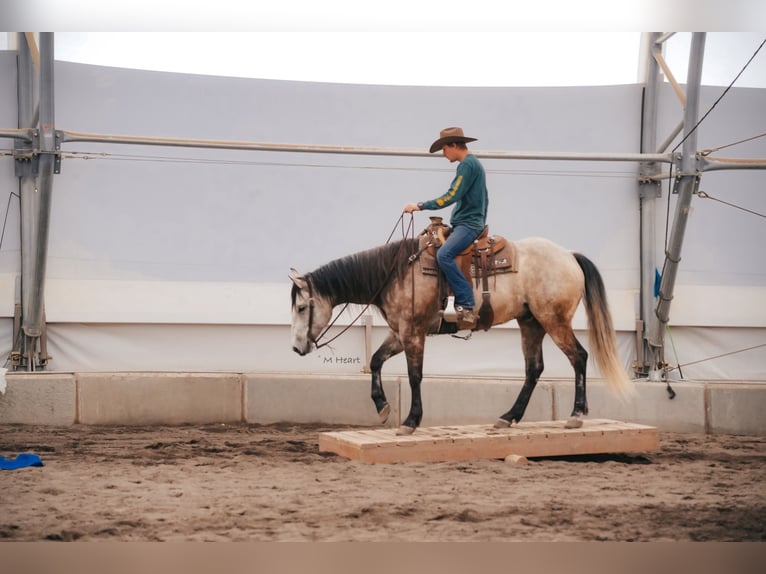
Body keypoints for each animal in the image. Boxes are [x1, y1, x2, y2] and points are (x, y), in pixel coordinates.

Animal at [290, 230, 633, 435]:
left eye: (302, 307)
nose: (296, 348)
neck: (397, 272)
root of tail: (569, 255)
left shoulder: (413, 332)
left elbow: (415, 376)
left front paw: (411, 421)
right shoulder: (400, 332)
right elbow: (375, 360)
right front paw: (383, 408)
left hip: (554, 321)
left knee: (579, 357)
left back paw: (576, 414)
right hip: (531, 323)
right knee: (534, 369)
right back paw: (508, 417)